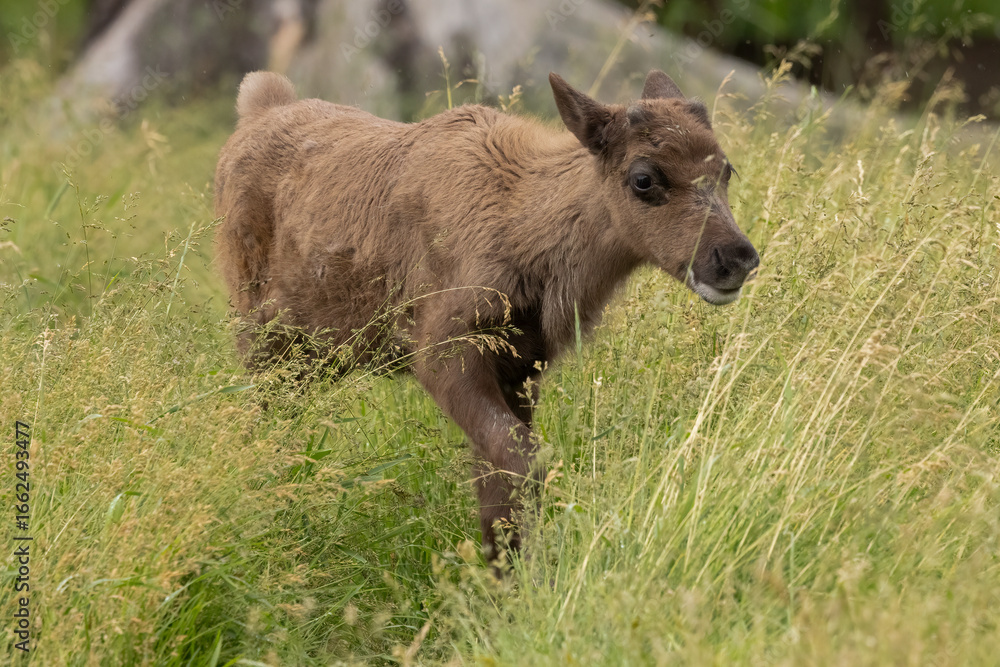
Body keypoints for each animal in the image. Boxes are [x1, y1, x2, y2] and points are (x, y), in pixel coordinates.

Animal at [214, 68, 759, 563]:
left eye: (727, 169)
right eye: (643, 178)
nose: (736, 258)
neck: (525, 233)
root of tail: (256, 107)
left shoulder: (521, 368)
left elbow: (500, 486)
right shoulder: (442, 350)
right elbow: (522, 460)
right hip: (261, 338)